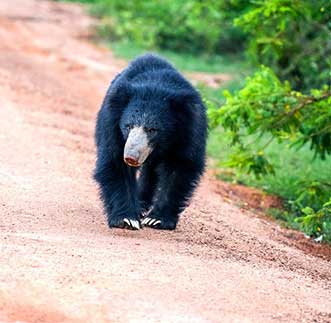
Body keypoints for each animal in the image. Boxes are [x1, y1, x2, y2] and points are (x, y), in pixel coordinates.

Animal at [94, 53, 208, 230]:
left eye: (152, 130)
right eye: (128, 126)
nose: (131, 157)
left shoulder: (190, 129)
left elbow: (180, 167)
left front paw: (157, 220)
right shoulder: (111, 122)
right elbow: (115, 160)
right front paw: (127, 219)